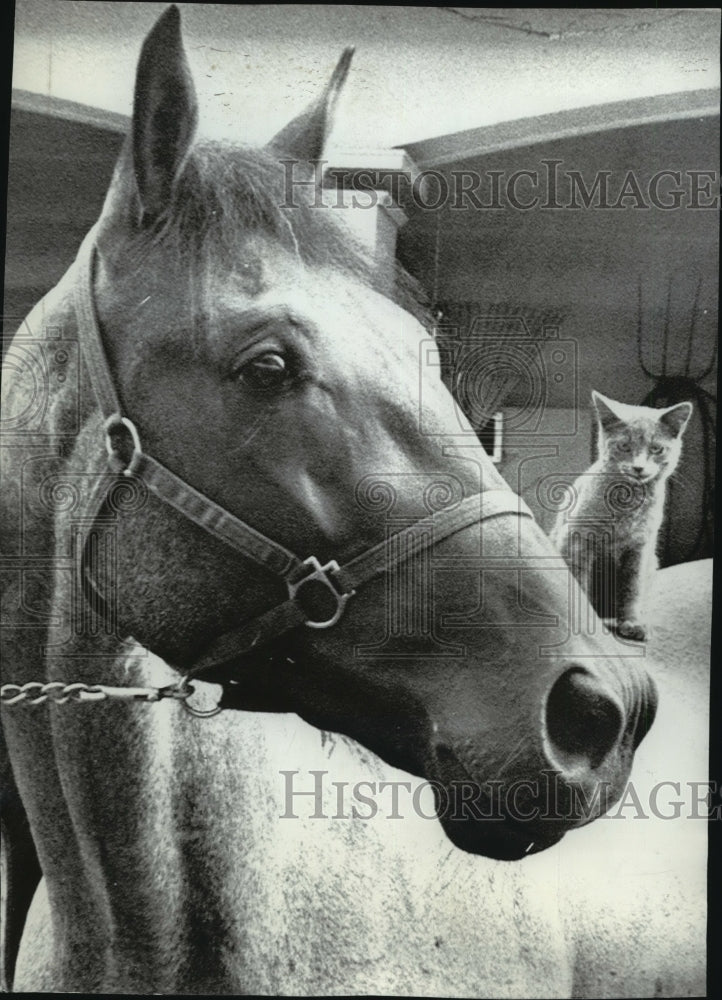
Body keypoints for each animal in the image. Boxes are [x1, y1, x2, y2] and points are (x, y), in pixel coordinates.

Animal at [552, 390, 692, 640]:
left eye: (656, 449)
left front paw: (633, 623)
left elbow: (632, 588)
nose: (638, 467)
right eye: (624, 446)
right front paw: (586, 620)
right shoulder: (577, 538)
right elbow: (579, 579)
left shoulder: (640, 548)